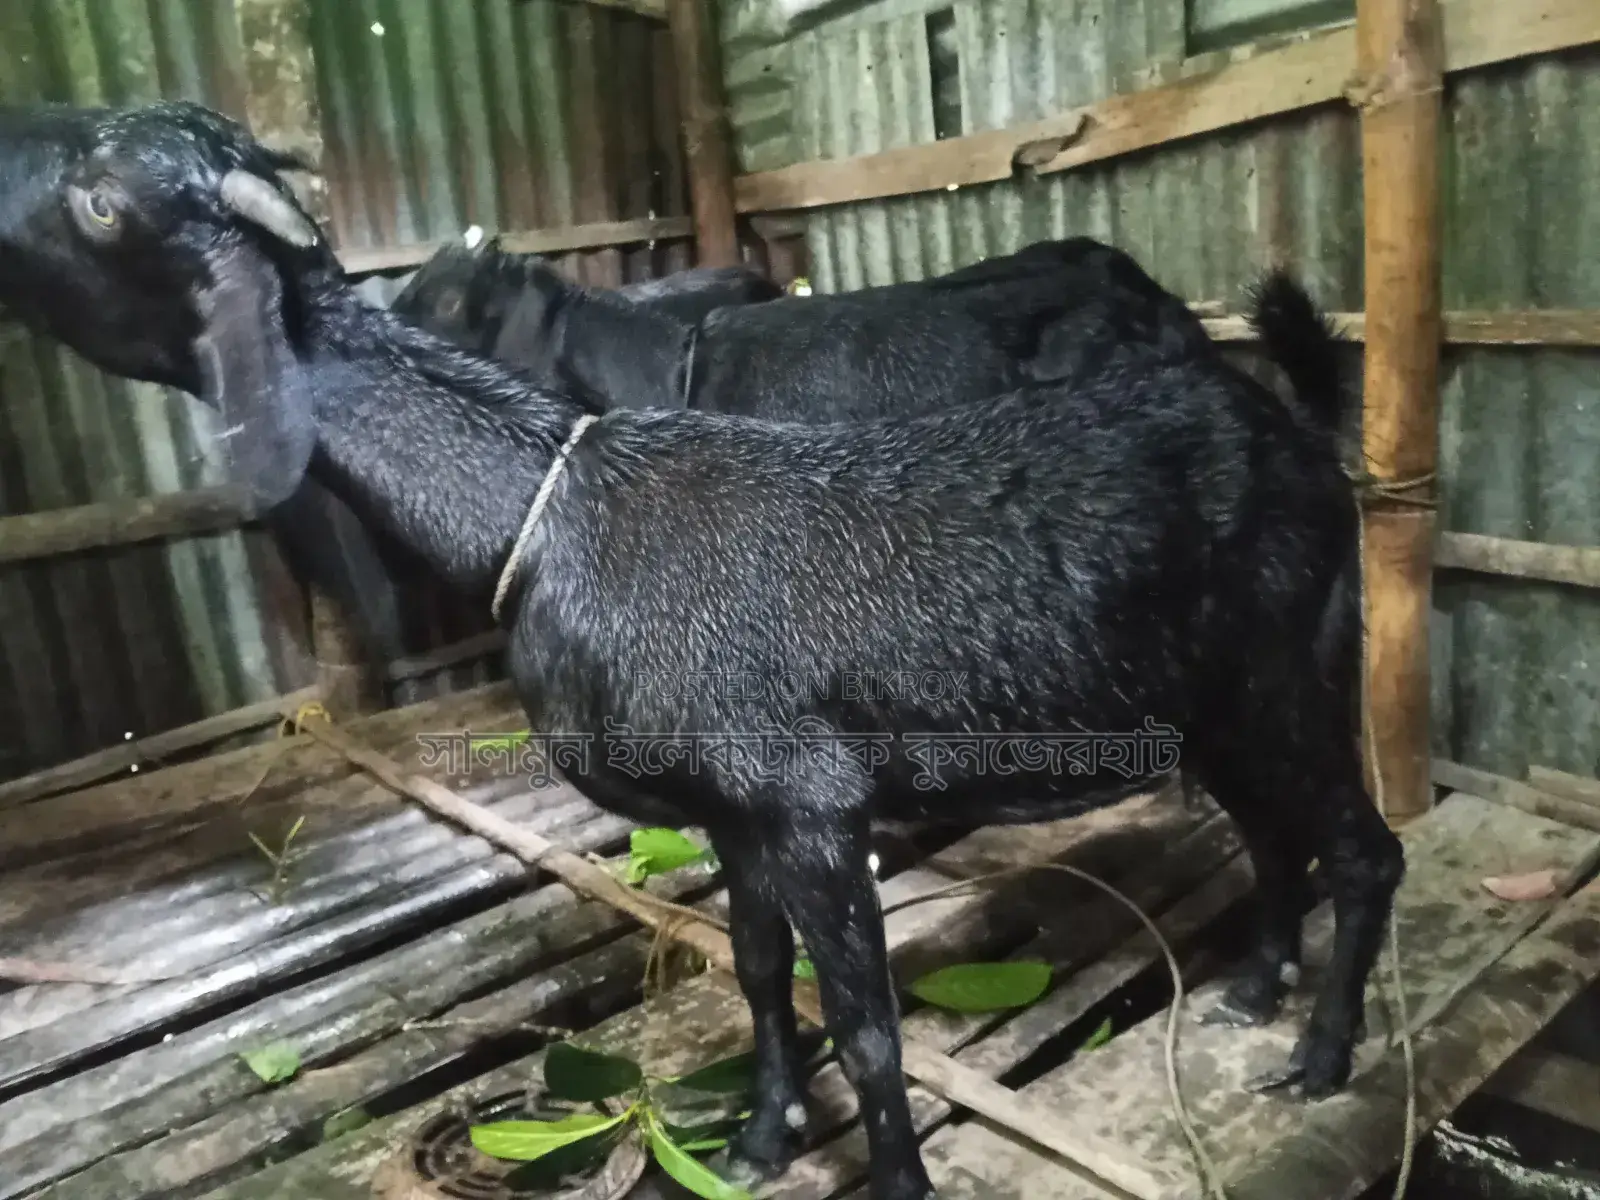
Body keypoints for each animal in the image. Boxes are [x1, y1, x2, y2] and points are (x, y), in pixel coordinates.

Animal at [0, 101, 1404, 1200]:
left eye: (101, 201)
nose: (9, 142)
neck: (550, 506)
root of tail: (1291, 430)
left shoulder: (813, 801)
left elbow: (868, 1025)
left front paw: (894, 1179)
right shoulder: (732, 812)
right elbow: (758, 975)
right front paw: (758, 1145)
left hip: (1295, 664)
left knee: (1360, 848)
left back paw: (1320, 1058)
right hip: (1209, 700)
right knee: (1269, 833)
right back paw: (1254, 989)